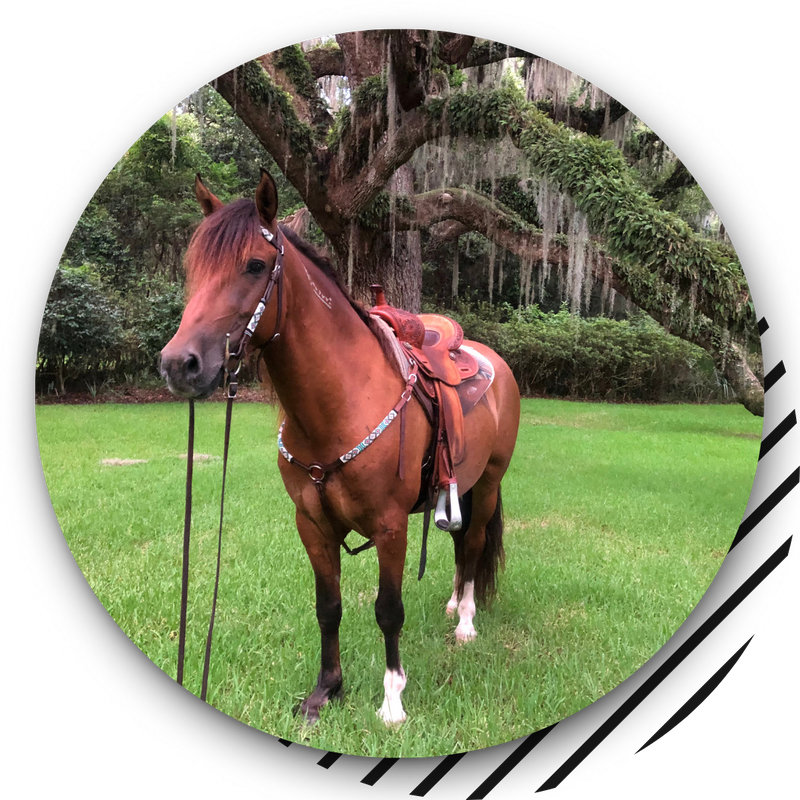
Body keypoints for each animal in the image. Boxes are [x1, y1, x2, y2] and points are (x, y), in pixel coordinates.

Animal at [160, 170, 521, 725]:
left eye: (255, 265)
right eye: (192, 267)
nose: (180, 364)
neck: (340, 404)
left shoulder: (391, 527)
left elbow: (387, 611)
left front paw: (392, 700)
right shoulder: (311, 523)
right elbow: (328, 607)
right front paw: (326, 690)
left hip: (486, 485)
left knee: (475, 542)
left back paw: (465, 621)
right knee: (462, 545)